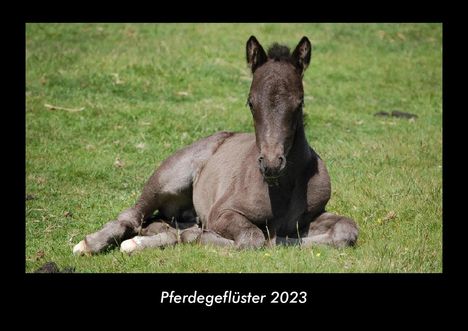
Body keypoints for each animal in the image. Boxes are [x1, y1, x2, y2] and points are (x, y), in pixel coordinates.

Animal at [73, 35, 358, 255]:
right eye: (251, 102)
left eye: (299, 103)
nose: (271, 163)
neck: (281, 188)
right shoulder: (221, 213)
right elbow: (252, 238)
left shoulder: (311, 216)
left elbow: (346, 229)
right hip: (169, 177)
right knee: (133, 215)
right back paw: (89, 244)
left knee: (162, 223)